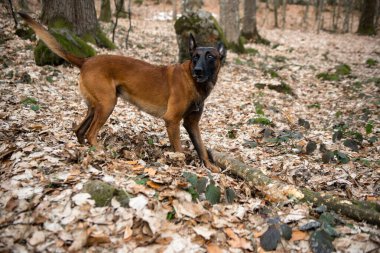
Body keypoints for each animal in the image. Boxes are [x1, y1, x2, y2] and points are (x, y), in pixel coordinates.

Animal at [18, 12, 226, 173]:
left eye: (210, 57)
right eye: (195, 57)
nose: (198, 71)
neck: (194, 83)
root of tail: (86, 60)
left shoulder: (192, 124)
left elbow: (201, 147)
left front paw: (210, 167)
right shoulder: (172, 121)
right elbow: (180, 150)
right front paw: (183, 166)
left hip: (96, 106)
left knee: (80, 131)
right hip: (108, 104)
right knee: (91, 133)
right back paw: (101, 152)